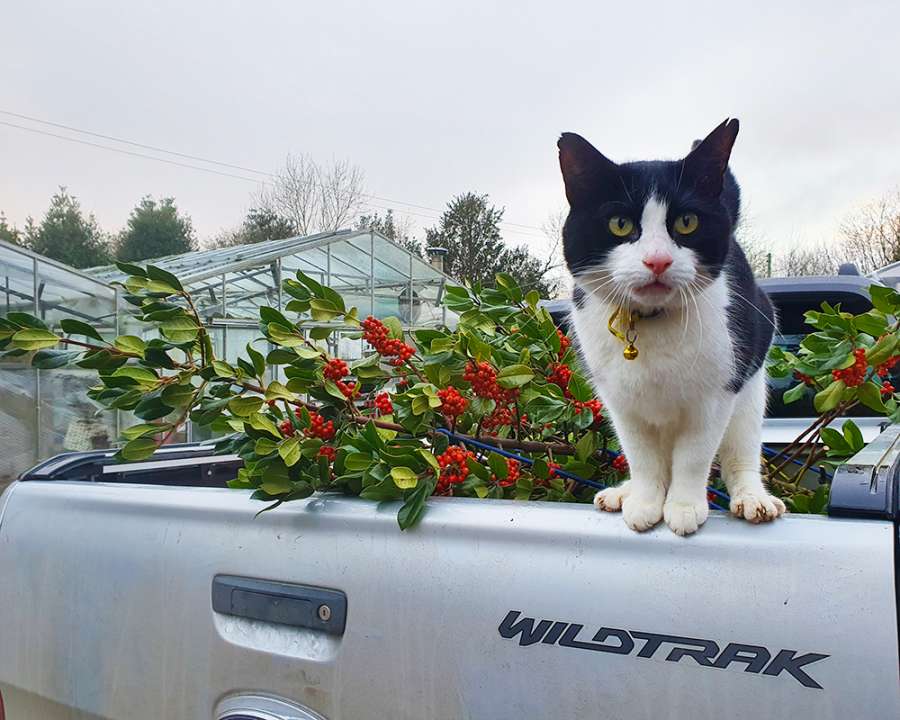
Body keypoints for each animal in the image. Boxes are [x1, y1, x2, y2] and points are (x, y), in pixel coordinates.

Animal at [560, 119, 784, 536]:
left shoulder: (715, 398)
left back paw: (752, 497)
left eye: (687, 222)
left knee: (740, 451)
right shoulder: (620, 402)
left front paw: (682, 506)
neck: (650, 322)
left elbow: (694, 457)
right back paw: (625, 492)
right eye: (620, 224)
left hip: (750, 390)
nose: (658, 261)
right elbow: (643, 457)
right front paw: (646, 502)